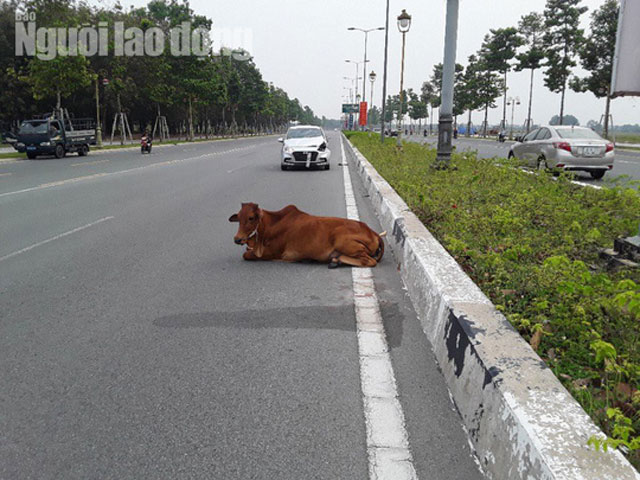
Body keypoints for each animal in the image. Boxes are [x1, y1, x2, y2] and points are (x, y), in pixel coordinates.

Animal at [232, 202, 388, 268]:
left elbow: (246, 255)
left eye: (251, 218)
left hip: (342, 240)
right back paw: (335, 260)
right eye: (238, 217)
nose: (237, 239)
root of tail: (373, 232)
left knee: (369, 261)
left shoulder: (272, 253)